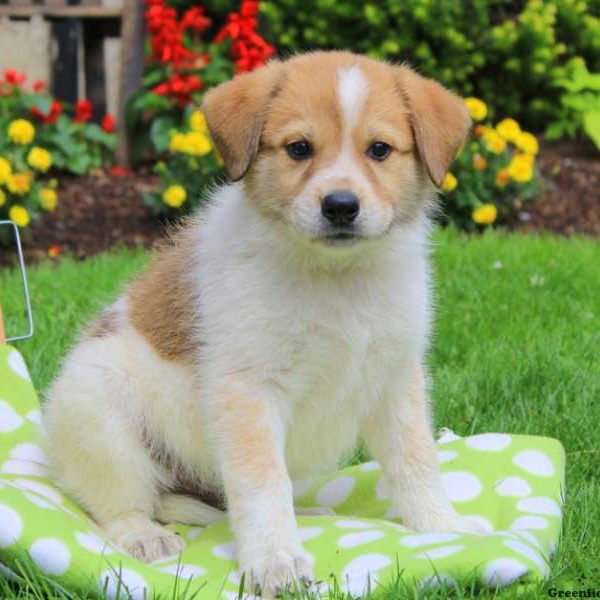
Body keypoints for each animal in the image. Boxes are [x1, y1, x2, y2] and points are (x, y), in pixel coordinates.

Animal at [43, 51, 478, 596]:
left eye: (379, 150)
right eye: (299, 148)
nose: (341, 206)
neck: (336, 279)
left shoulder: (395, 378)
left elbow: (416, 459)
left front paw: (443, 527)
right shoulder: (249, 389)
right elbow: (262, 483)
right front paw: (276, 562)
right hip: (99, 410)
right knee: (117, 500)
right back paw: (143, 534)